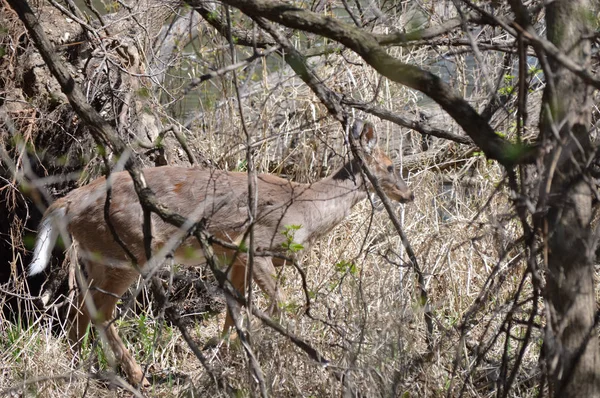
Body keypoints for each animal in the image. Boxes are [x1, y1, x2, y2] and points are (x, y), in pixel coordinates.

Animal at [28, 119, 412, 386]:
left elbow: (234, 312)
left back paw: (89, 369)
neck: (308, 208)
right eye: (391, 165)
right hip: (124, 250)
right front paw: (285, 355)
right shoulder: (257, 244)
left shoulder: (234, 257)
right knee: (99, 313)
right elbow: (279, 305)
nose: (409, 195)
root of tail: (68, 202)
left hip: (97, 256)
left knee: (81, 309)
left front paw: (227, 356)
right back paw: (131, 376)